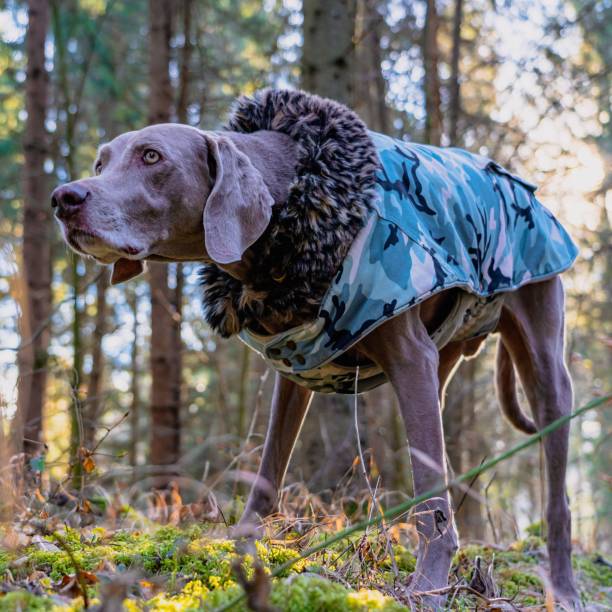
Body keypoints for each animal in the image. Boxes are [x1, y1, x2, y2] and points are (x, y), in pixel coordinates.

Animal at [51, 87, 580, 608]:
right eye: (101, 162)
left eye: (151, 156)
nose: (63, 197)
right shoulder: (296, 366)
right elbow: (268, 474)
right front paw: (241, 551)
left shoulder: (411, 358)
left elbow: (428, 496)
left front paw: (427, 588)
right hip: (443, 358)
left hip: (543, 360)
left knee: (557, 498)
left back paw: (564, 588)